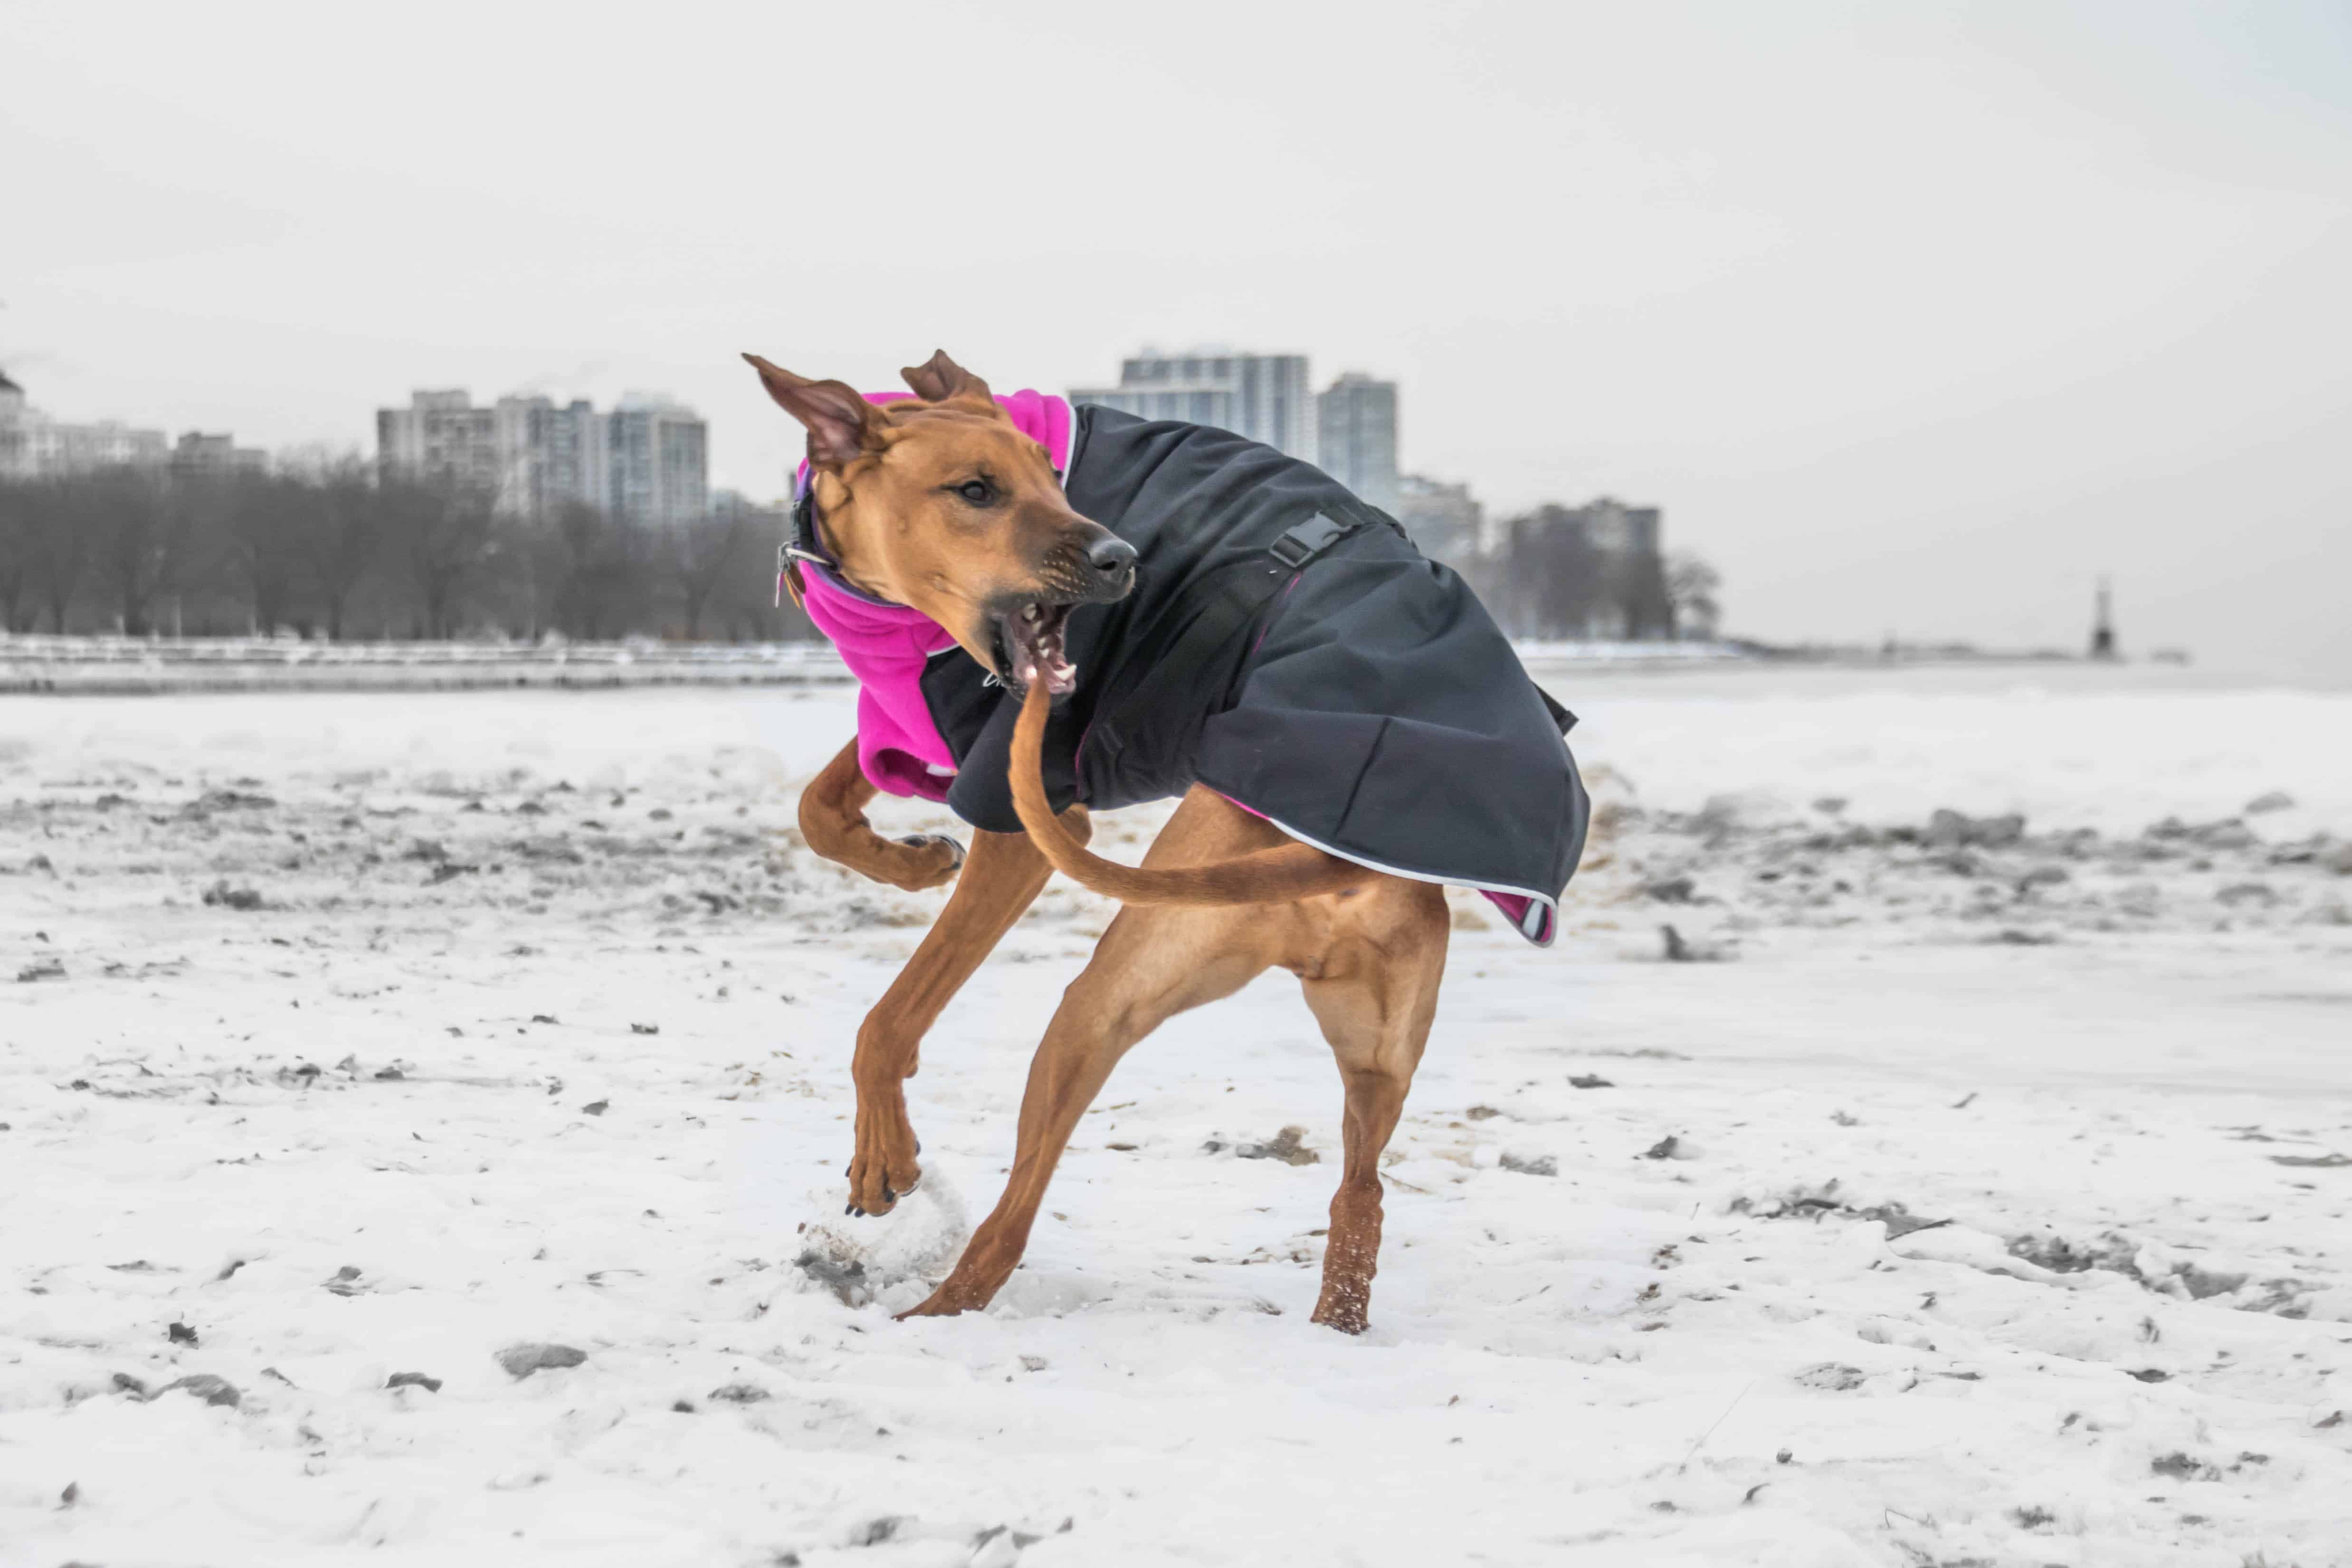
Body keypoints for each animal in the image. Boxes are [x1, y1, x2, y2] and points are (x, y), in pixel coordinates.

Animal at [743, 350, 1590, 1335]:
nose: (1121, 558)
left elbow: (893, 1013)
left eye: (1052, 479)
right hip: (1370, 1054)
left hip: (1095, 1002)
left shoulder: (1029, 807)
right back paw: (1335, 1320)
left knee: (1011, 1221)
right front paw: (913, 861)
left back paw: (929, 1315)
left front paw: (885, 1156)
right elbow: (820, 807)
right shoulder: (928, 713)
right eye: (976, 490)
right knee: (1362, 1191)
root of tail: (1331, 854)